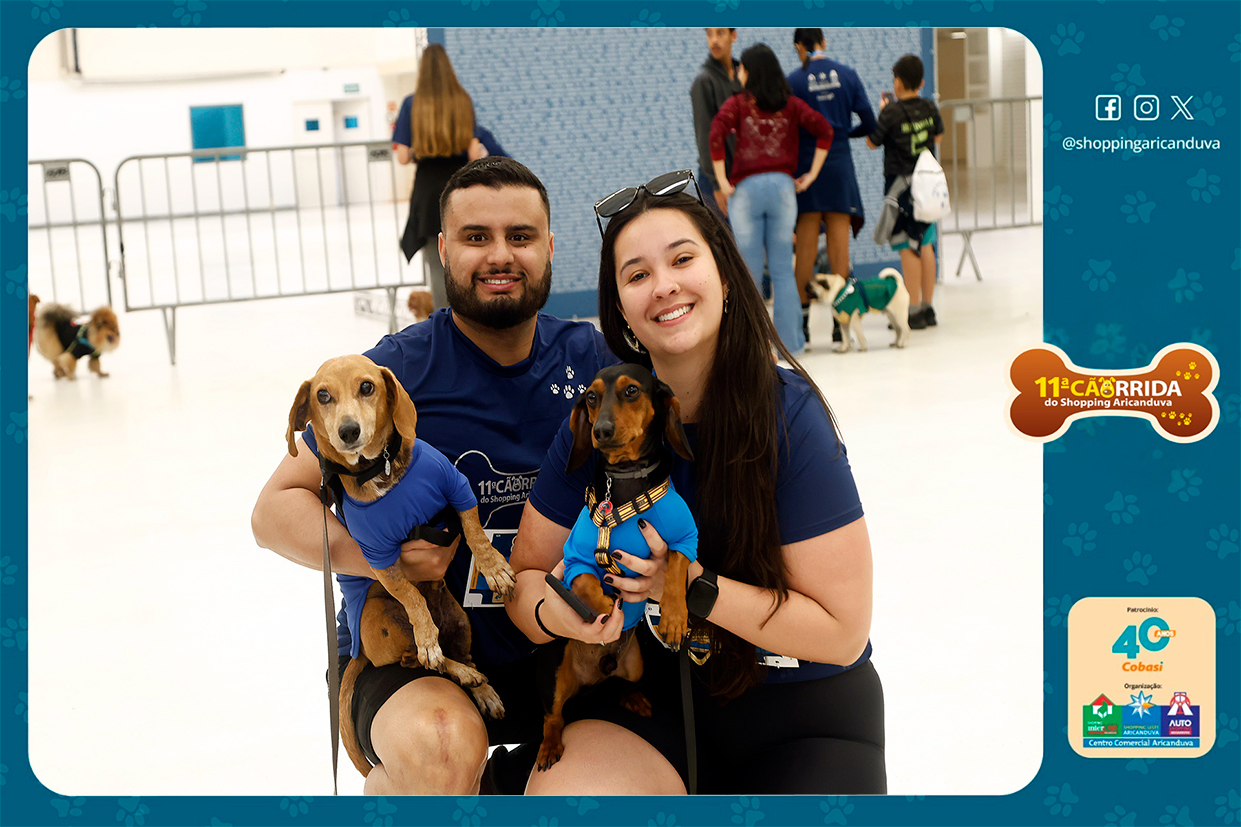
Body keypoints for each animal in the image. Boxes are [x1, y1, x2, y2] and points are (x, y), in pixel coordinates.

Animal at [286, 354, 517, 778]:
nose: (348, 431)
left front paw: (493, 567)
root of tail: (358, 654)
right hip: (382, 615)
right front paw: (426, 634)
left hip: (461, 621)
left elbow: (475, 532)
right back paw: (447, 661)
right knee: (422, 661)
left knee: (461, 656)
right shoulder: (379, 557)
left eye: (367, 387)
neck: (381, 471)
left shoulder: (457, 488)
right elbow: (410, 595)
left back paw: (483, 689)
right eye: (323, 395)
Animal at [536, 364, 698, 772]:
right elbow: (585, 582)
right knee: (554, 715)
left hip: (636, 662)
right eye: (591, 396)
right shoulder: (576, 556)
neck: (624, 482)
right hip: (556, 672)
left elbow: (675, 564)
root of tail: (593, 677)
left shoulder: (687, 536)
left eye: (632, 391)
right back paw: (549, 746)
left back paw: (633, 697)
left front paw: (674, 617)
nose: (601, 431)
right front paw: (607, 606)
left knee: (627, 682)